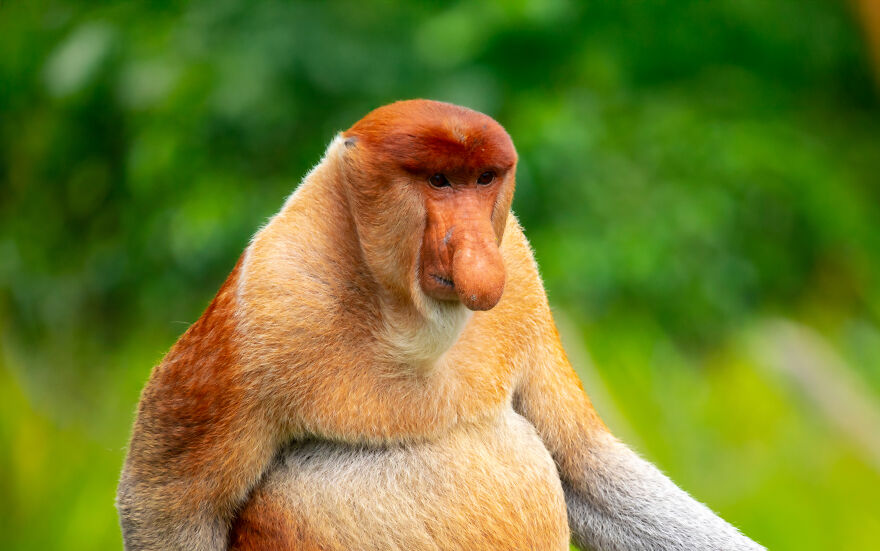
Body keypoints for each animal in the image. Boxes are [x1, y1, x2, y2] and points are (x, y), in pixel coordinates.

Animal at [117, 99, 764, 551]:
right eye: (437, 181)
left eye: (483, 179)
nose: (475, 257)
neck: (408, 317)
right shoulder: (270, 298)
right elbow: (168, 505)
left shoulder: (520, 272)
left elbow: (583, 461)